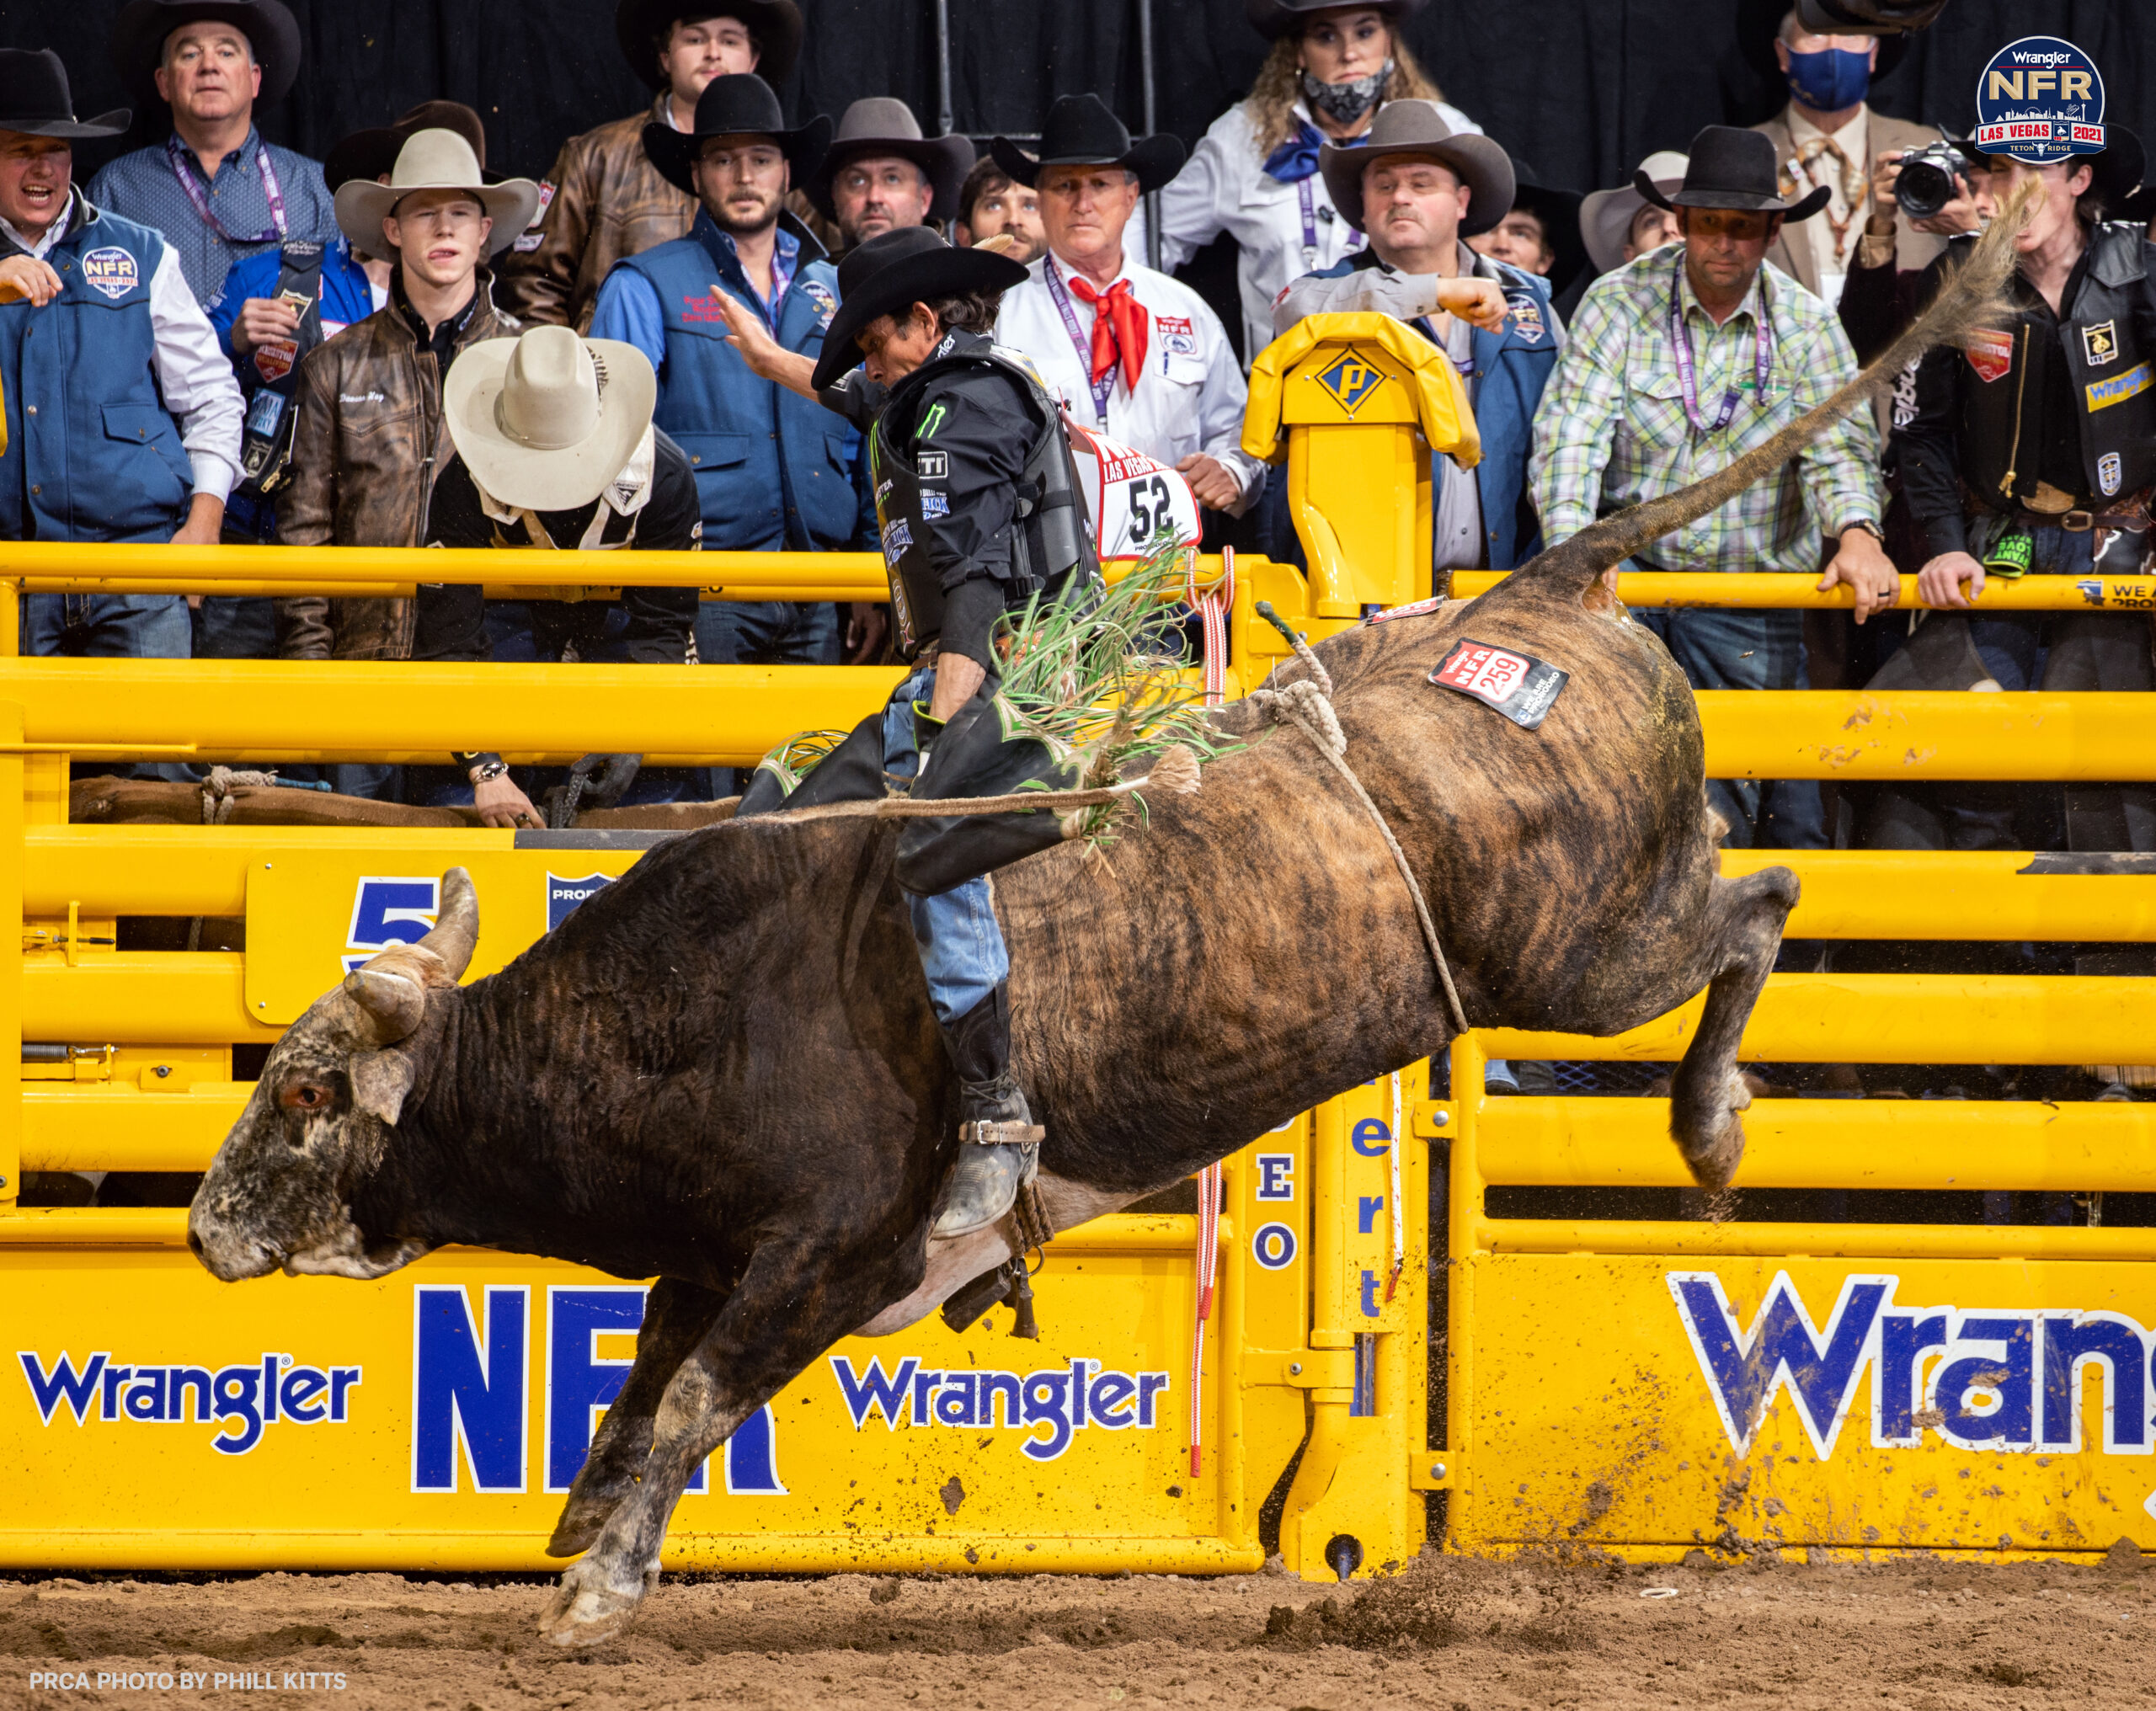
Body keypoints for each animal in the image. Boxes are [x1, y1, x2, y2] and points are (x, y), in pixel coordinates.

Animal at [185, 206, 2018, 1646]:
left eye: (300, 1093)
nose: (203, 1226)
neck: (680, 1007)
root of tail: (1533, 589)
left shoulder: (830, 1245)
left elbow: (697, 1396)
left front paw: (596, 1589)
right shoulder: (707, 1251)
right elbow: (635, 1395)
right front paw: (579, 1536)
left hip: (1578, 951)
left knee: (1755, 907)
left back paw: (1709, 1127)